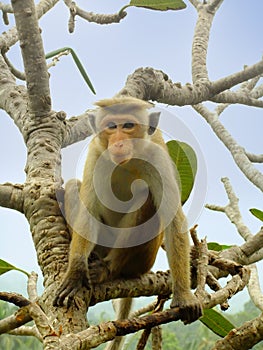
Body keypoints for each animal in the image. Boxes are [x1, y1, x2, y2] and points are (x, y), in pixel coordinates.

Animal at [53, 97, 202, 346]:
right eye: (112, 127)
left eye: (129, 126)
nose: (119, 142)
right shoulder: (95, 151)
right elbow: (89, 208)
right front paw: (75, 272)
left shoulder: (157, 158)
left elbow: (174, 221)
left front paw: (183, 296)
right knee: (75, 186)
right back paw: (91, 260)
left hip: (142, 260)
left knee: (145, 194)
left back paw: (109, 269)